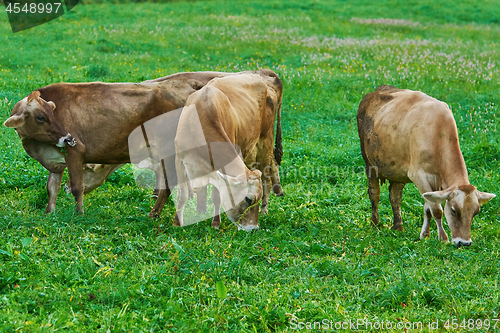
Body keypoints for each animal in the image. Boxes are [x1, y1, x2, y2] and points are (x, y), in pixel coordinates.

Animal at [1, 72, 237, 213]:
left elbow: (78, 187)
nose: (68, 137)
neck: (38, 146)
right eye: (41, 116)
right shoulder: (55, 162)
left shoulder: (76, 152)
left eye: (50, 113)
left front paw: (78, 214)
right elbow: (52, 188)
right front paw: (50, 213)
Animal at [173, 71, 284, 230]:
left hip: (265, 141)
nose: (254, 229)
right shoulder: (179, 159)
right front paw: (177, 223)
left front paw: (215, 223)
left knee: (266, 179)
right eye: (248, 199)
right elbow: (182, 195)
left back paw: (264, 211)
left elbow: (216, 196)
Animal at [358, 85, 494, 246]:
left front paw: (425, 235)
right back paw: (375, 224)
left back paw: (398, 226)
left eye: (476, 212)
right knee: (374, 193)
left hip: (397, 170)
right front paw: (443, 238)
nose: (464, 243)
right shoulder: (418, 176)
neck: (439, 134)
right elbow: (436, 209)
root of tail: (375, 91)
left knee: (395, 196)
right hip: (369, 163)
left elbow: (428, 208)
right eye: (454, 210)